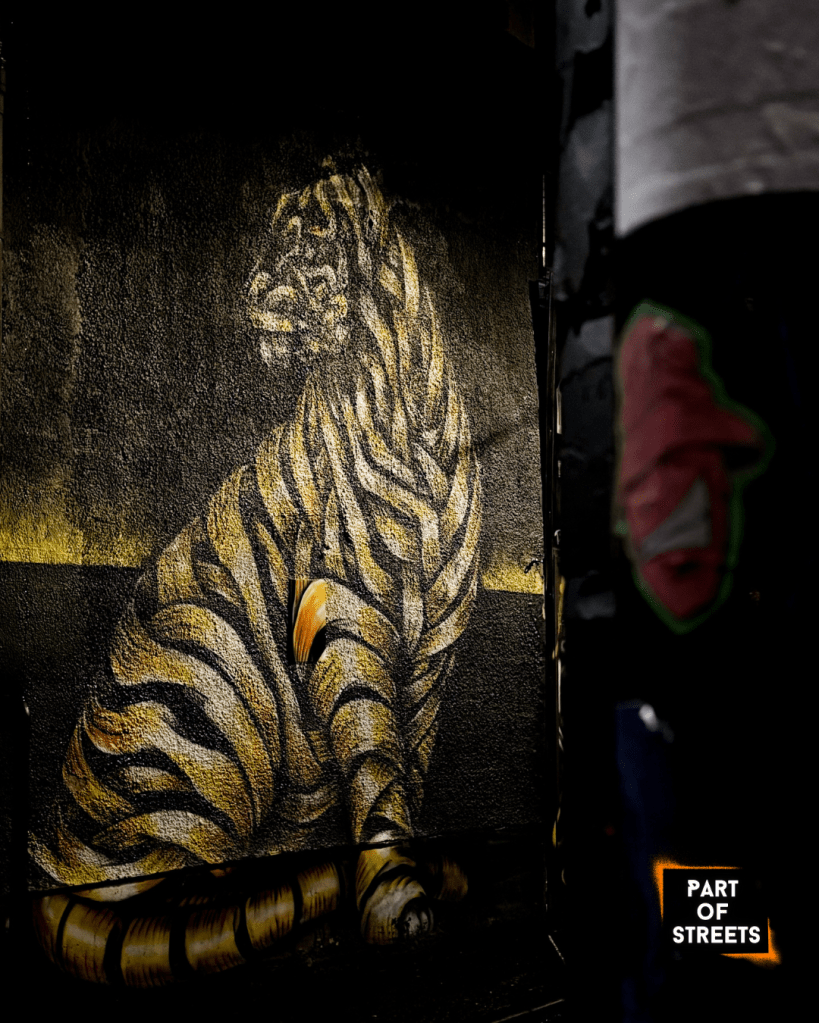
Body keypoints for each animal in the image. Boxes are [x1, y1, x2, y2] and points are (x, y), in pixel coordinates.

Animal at [29, 165, 483, 984]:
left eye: (306, 239)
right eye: (270, 235)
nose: (250, 291)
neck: (403, 395)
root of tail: (57, 847)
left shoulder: (436, 639)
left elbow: (411, 753)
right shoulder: (343, 608)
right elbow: (376, 753)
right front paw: (400, 902)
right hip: (205, 675)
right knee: (177, 887)